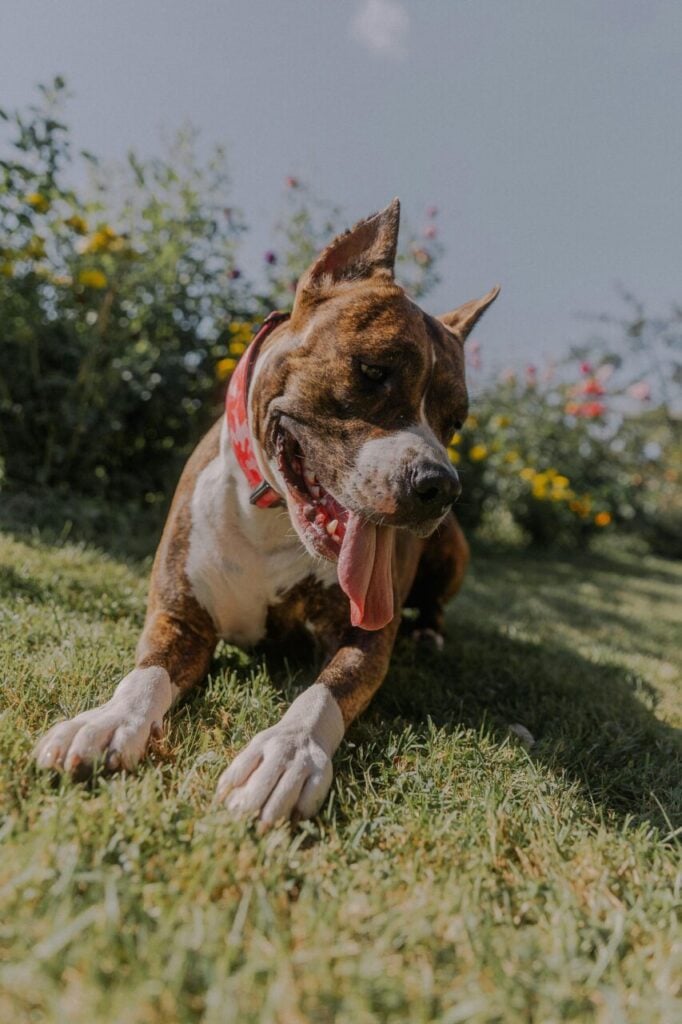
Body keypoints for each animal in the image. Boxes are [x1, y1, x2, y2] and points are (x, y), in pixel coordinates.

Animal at [34, 197, 497, 823]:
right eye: (373, 371)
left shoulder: (366, 639)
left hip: (451, 551)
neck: (272, 517)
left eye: (456, 423)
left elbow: (322, 694)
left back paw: (429, 634)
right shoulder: (178, 618)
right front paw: (107, 722)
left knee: (437, 606)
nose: (440, 485)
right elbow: (144, 677)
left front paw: (286, 754)